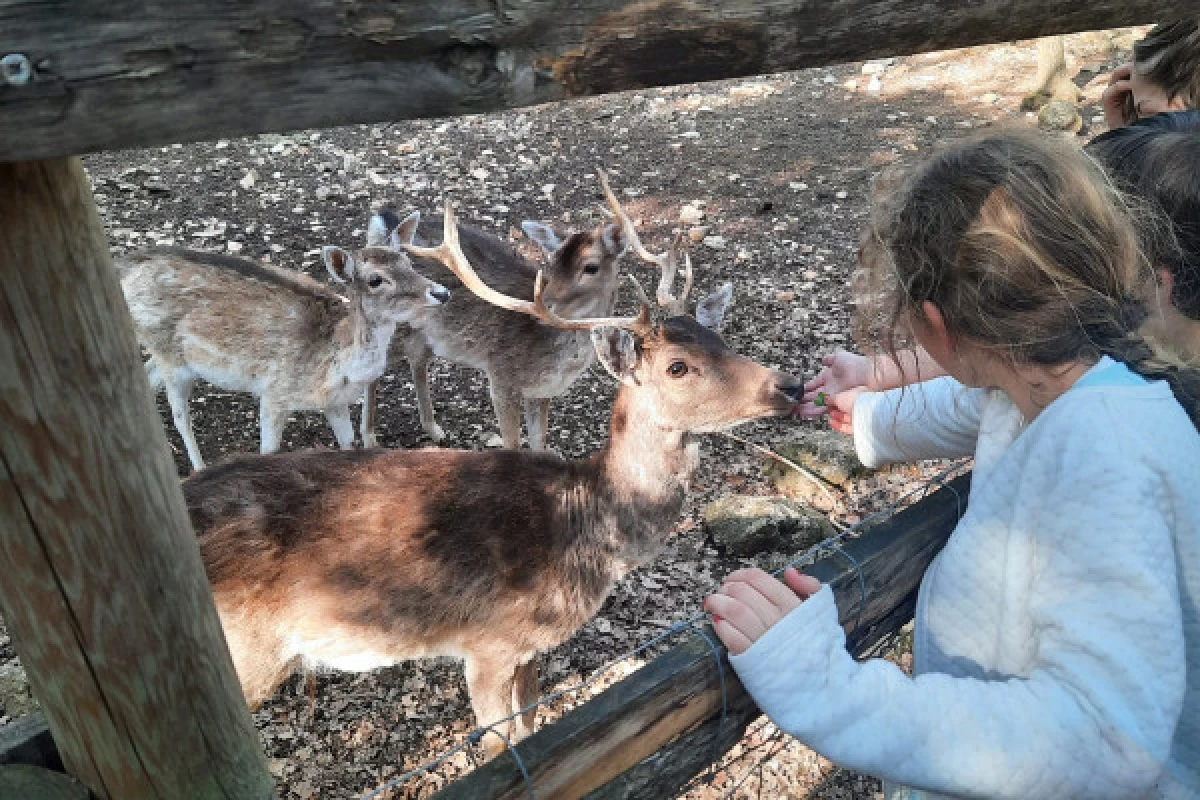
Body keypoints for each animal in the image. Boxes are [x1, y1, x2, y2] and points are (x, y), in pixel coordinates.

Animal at [119, 225, 448, 472]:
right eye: (375, 280)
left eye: (408, 262)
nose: (442, 292)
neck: (336, 362)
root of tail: (125, 268)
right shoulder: (274, 394)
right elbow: (268, 451)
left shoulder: (336, 403)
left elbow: (347, 444)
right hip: (171, 357)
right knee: (179, 415)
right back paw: (198, 469)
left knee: (147, 374)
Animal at [184, 206, 806, 758]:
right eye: (678, 367)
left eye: (720, 340)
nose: (791, 384)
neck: (581, 528)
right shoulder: (486, 642)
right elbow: (499, 740)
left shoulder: (531, 645)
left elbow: (530, 724)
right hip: (246, 653)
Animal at [355, 172, 696, 450]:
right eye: (550, 263)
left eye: (591, 267)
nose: (546, 303)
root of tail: (384, 228)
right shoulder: (501, 377)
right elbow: (513, 445)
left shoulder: (541, 392)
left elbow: (539, 442)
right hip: (391, 320)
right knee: (374, 365)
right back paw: (369, 438)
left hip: (428, 330)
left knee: (418, 359)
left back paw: (434, 429)